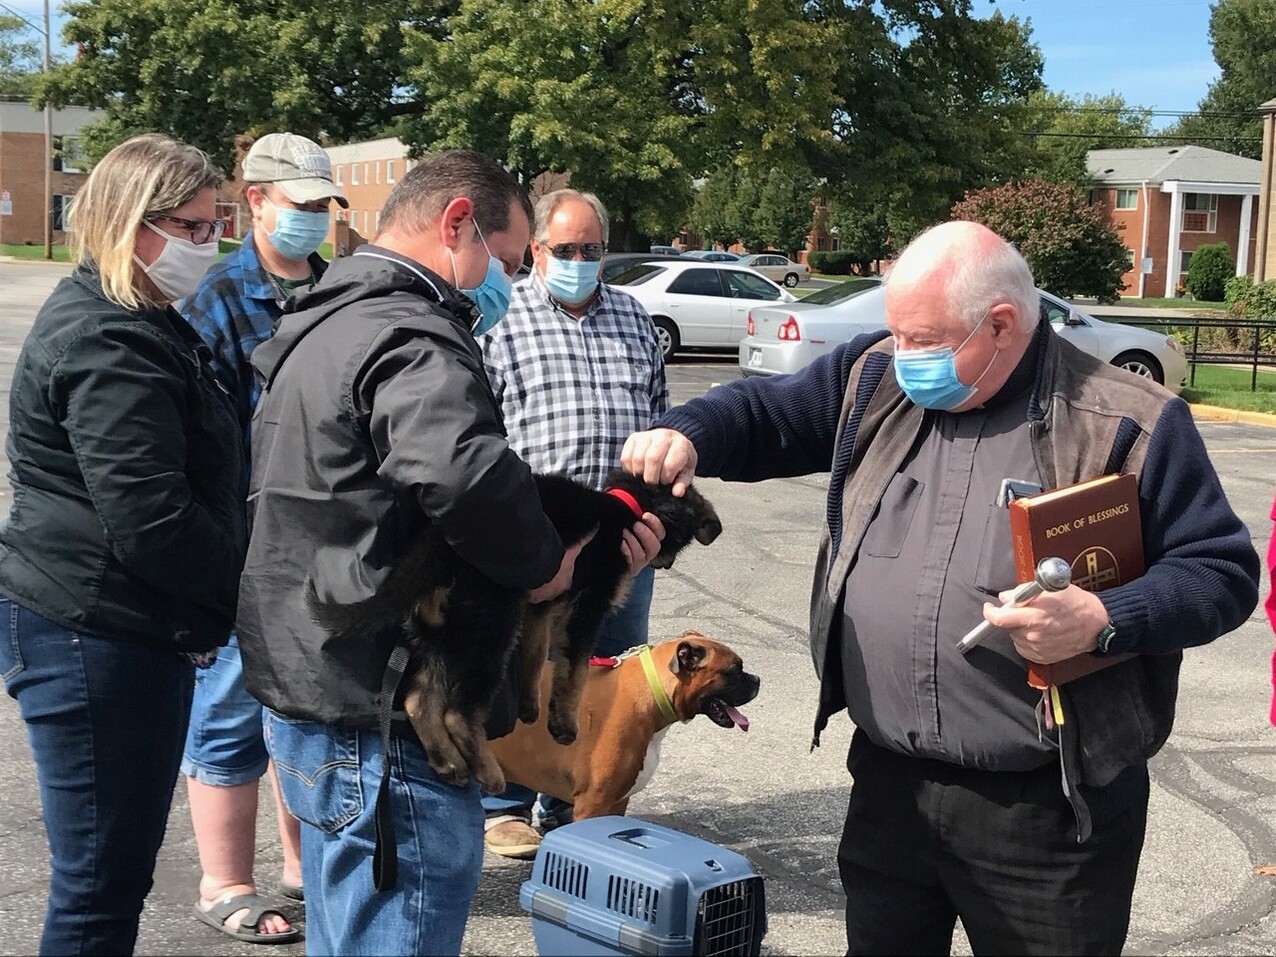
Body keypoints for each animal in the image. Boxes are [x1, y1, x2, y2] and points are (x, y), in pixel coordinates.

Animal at [306, 469, 719, 796]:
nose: (666, 565)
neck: (626, 507)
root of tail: (436, 548)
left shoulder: (540, 605)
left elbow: (535, 655)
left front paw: (530, 706)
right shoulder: (585, 608)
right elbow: (575, 672)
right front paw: (563, 724)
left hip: (442, 635)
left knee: (418, 700)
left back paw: (448, 763)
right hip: (492, 629)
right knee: (458, 714)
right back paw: (488, 773)